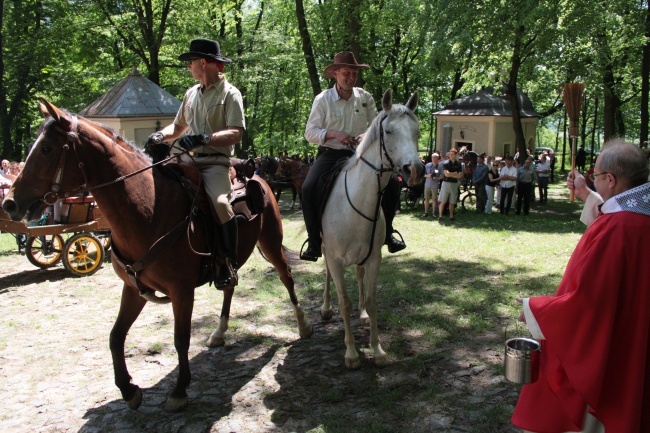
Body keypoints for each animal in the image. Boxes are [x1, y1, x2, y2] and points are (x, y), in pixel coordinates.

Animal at [1, 100, 312, 412]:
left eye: (46, 148)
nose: (10, 203)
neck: (148, 207)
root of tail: (258, 175)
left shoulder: (182, 291)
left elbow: (181, 339)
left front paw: (179, 390)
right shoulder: (133, 288)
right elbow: (116, 336)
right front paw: (128, 389)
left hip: (271, 244)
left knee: (287, 277)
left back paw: (303, 325)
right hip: (230, 261)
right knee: (230, 286)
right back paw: (219, 332)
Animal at [318, 88, 420, 368]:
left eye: (417, 132)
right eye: (389, 131)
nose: (415, 169)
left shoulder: (374, 257)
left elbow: (373, 301)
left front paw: (377, 349)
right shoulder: (336, 260)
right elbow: (344, 303)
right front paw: (352, 354)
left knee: (359, 275)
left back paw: (362, 313)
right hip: (325, 249)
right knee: (327, 273)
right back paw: (325, 308)